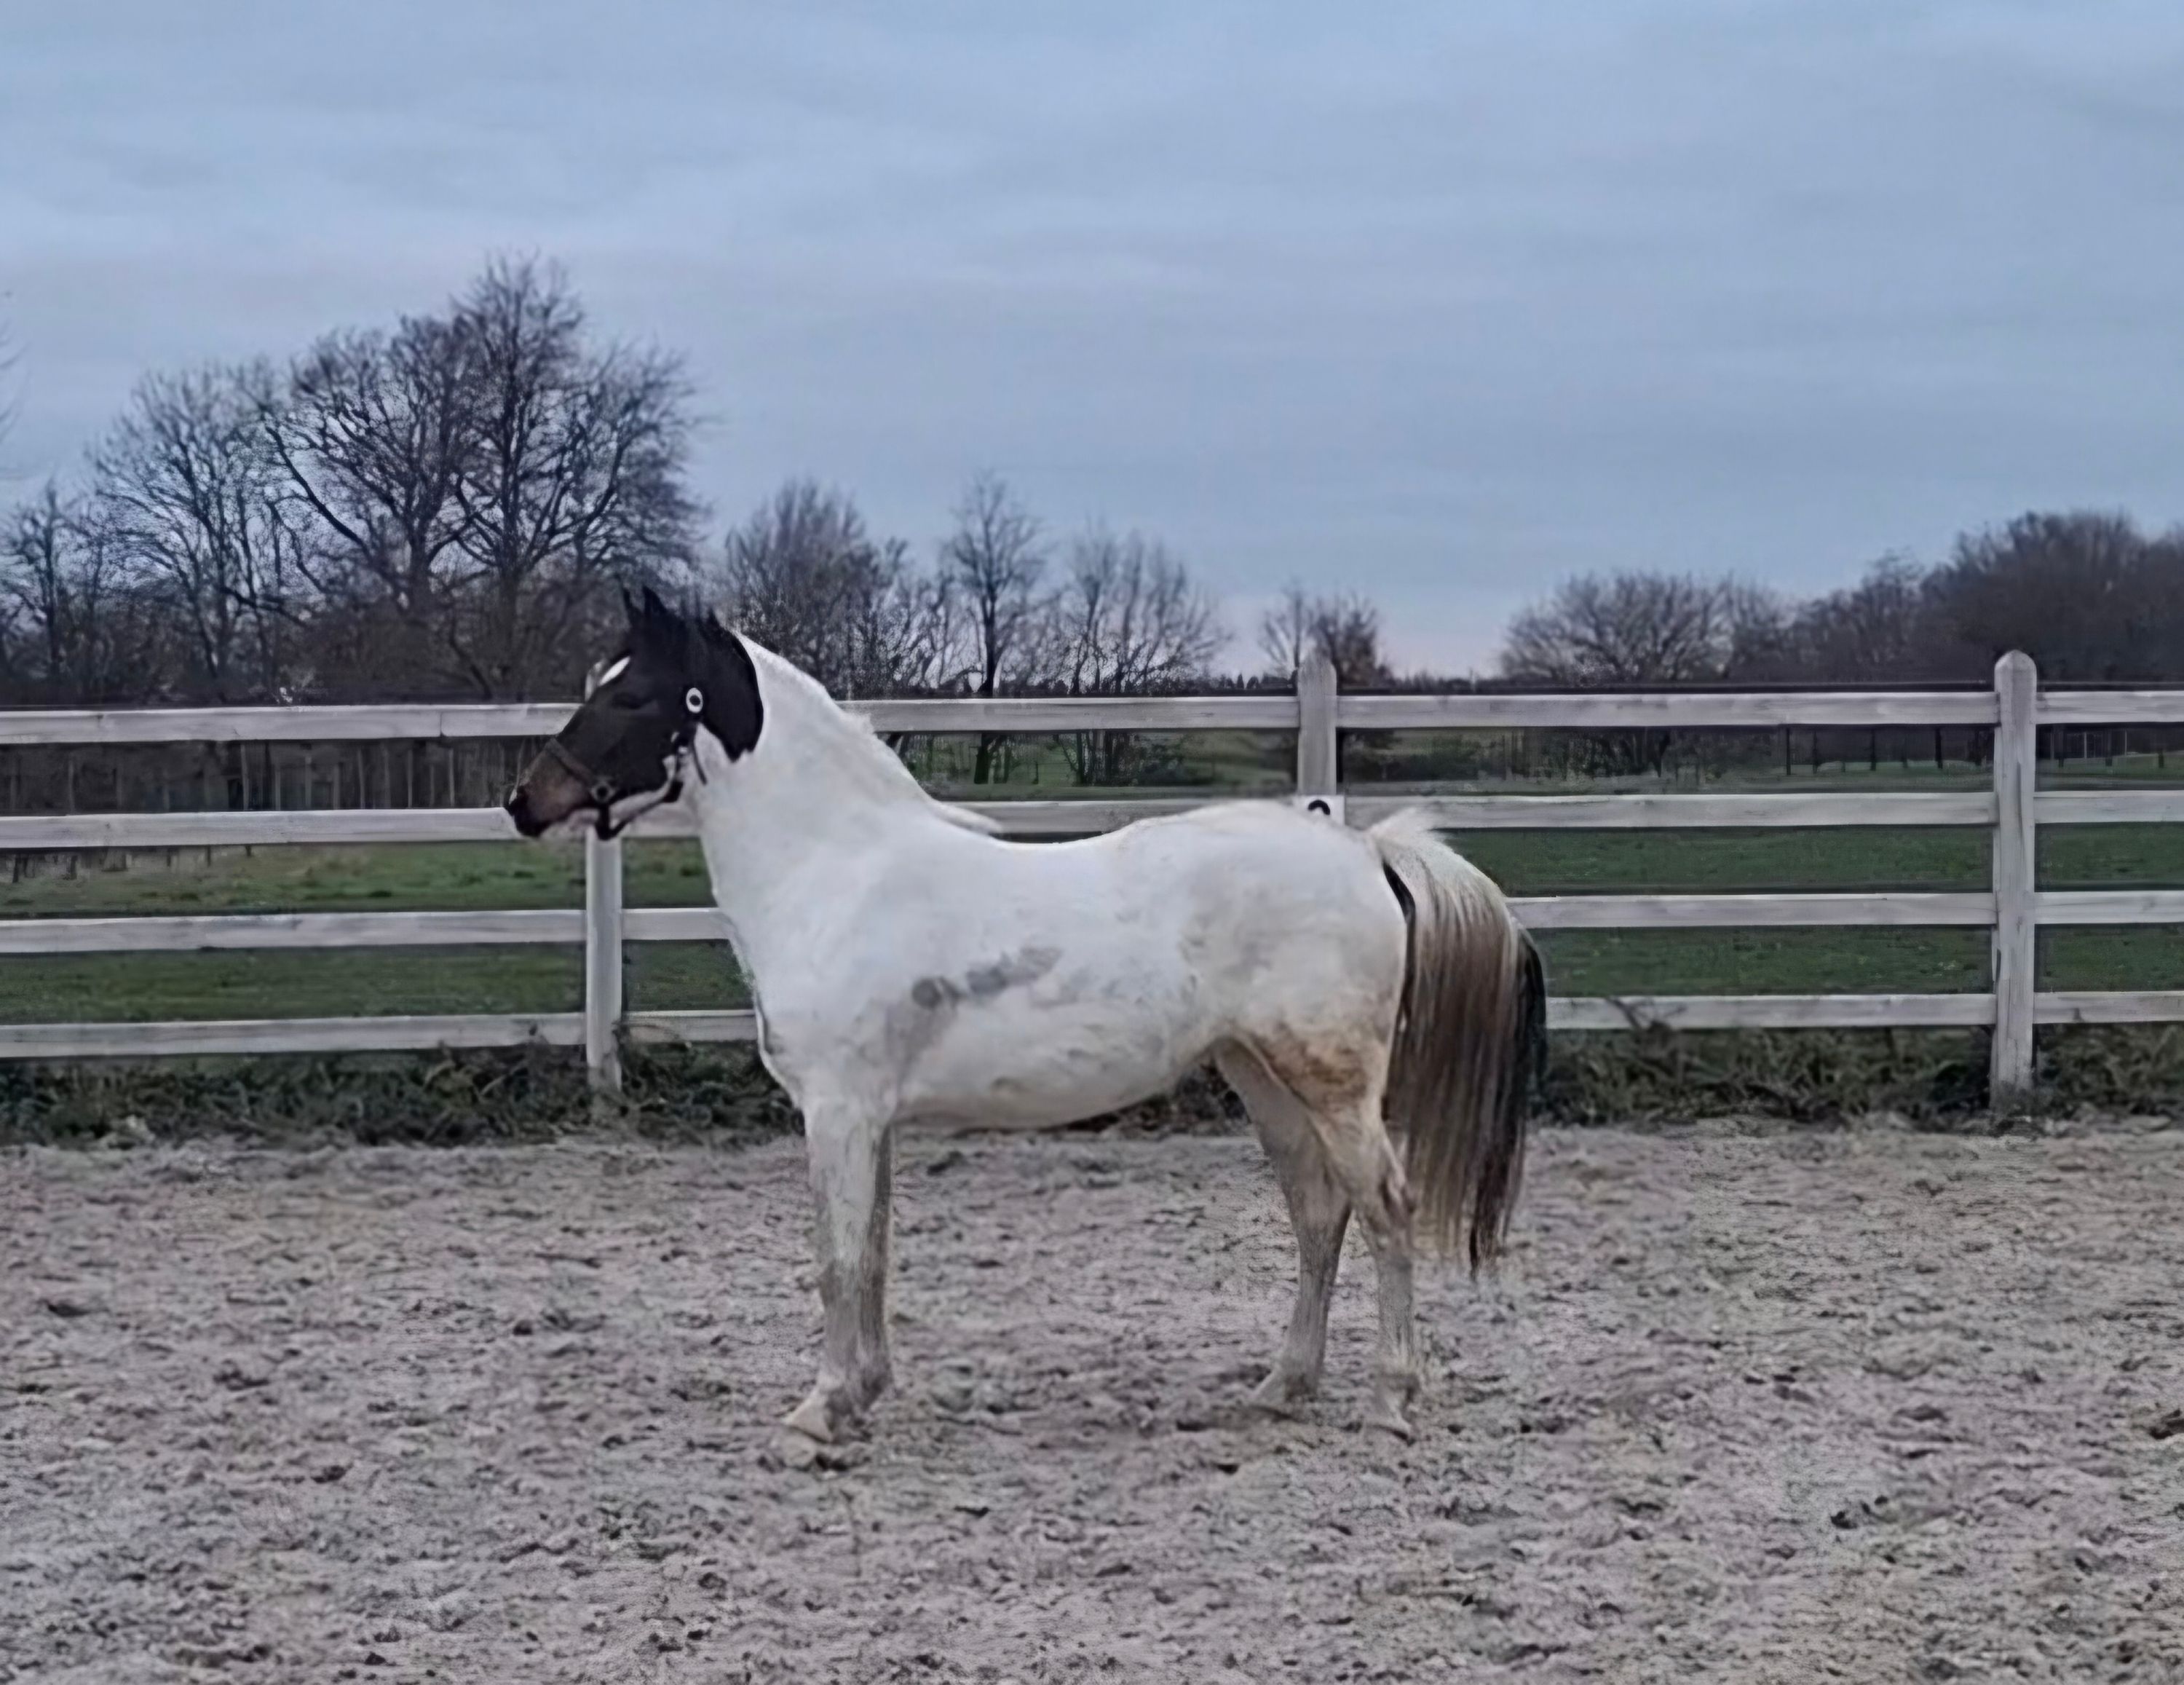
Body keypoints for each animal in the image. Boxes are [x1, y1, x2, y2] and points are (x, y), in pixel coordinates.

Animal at [507, 587, 1545, 1444]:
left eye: (635, 697)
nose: (525, 803)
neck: (835, 871)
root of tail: (1368, 850)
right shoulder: (872, 1118)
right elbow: (872, 1254)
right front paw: (864, 1391)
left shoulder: (838, 1110)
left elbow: (835, 1258)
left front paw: (819, 1411)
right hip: (1264, 1080)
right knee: (1319, 1215)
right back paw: (1284, 1386)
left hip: (1333, 1087)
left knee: (1386, 1207)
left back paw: (1390, 1399)